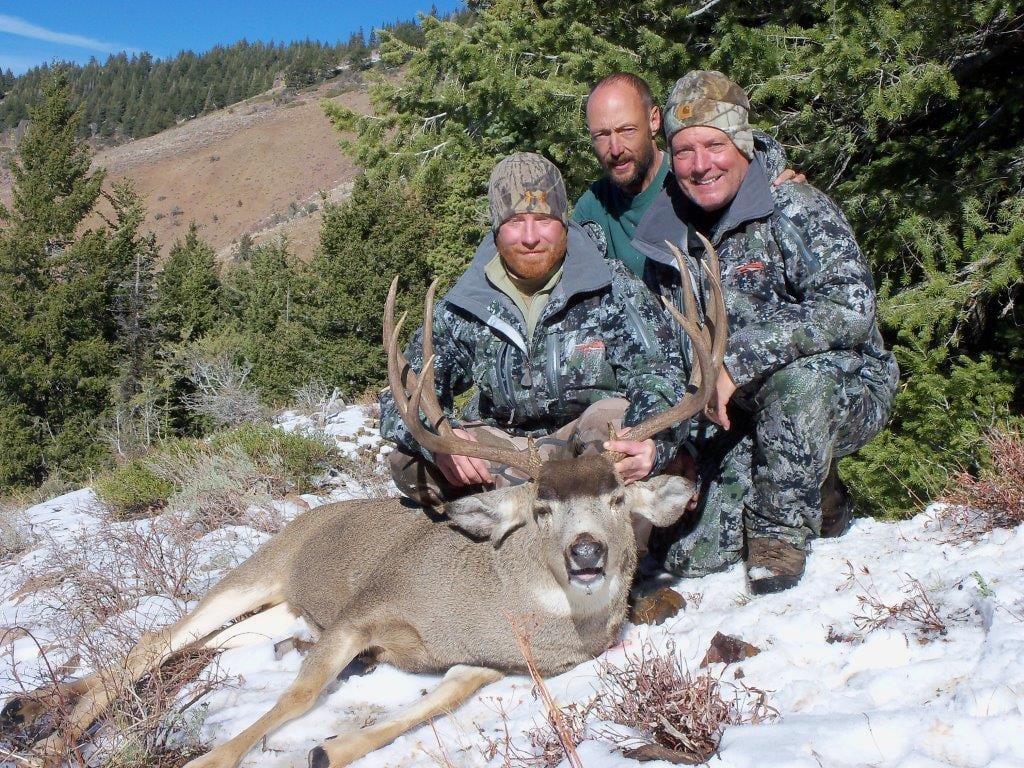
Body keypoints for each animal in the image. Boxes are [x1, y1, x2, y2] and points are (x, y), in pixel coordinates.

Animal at [1, 239, 724, 768]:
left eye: (617, 498)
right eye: (541, 509)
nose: (586, 553)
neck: (505, 607)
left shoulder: (485, 662)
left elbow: (431, 703)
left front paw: (332, 747)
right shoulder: (362, 609)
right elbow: (298, 693)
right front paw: (209, 761)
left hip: (283, 609)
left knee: (195, 649)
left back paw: (34, 712)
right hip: (260, 569)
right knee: (158, 640)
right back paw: (56, 735)